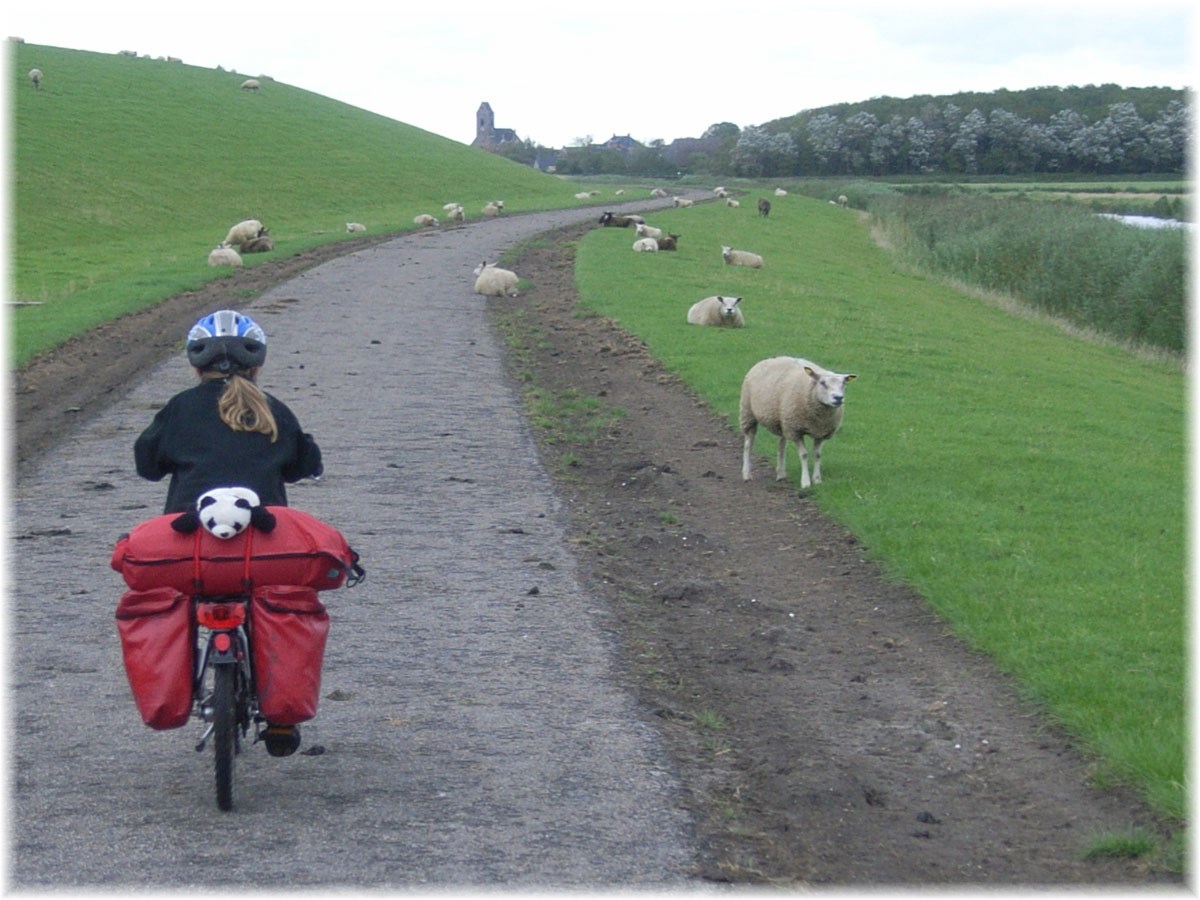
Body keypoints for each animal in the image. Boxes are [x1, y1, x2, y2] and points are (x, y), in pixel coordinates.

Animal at [734, 355, 859, 489]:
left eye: (844, 384)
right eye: (822, 383)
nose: (838, 398)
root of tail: (770, 358)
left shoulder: (821, 432)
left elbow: (817, 455)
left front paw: (817, 479)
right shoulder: (796, 430)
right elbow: (804, 454)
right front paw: (805, 482)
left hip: (782, 420)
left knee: (781, 445)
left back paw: (781, 474)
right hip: (748, 412)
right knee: (748, 444)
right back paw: (747, 474)